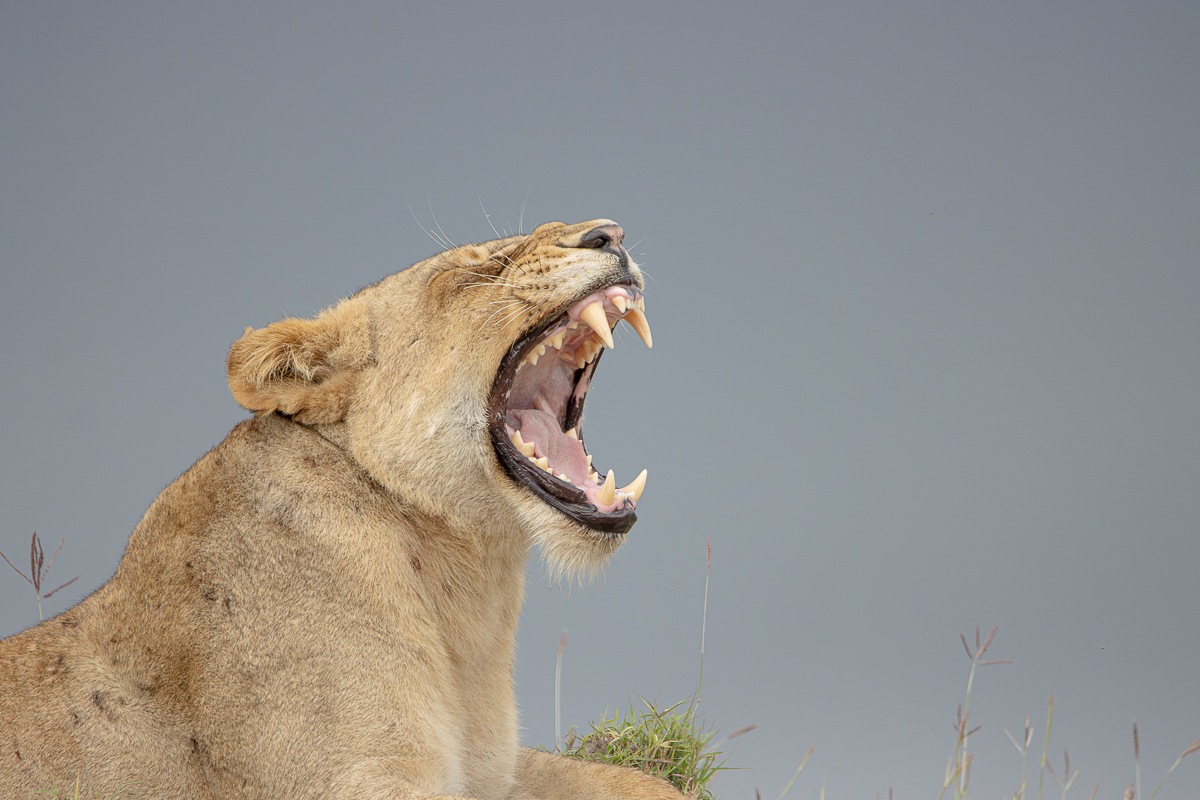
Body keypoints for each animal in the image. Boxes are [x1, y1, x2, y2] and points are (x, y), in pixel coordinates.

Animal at [0, 219, 681, 799]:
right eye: (474, 271)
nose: (610, 233)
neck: (466, 581)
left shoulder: (495, 767)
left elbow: (640, 782)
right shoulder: (353, 779)